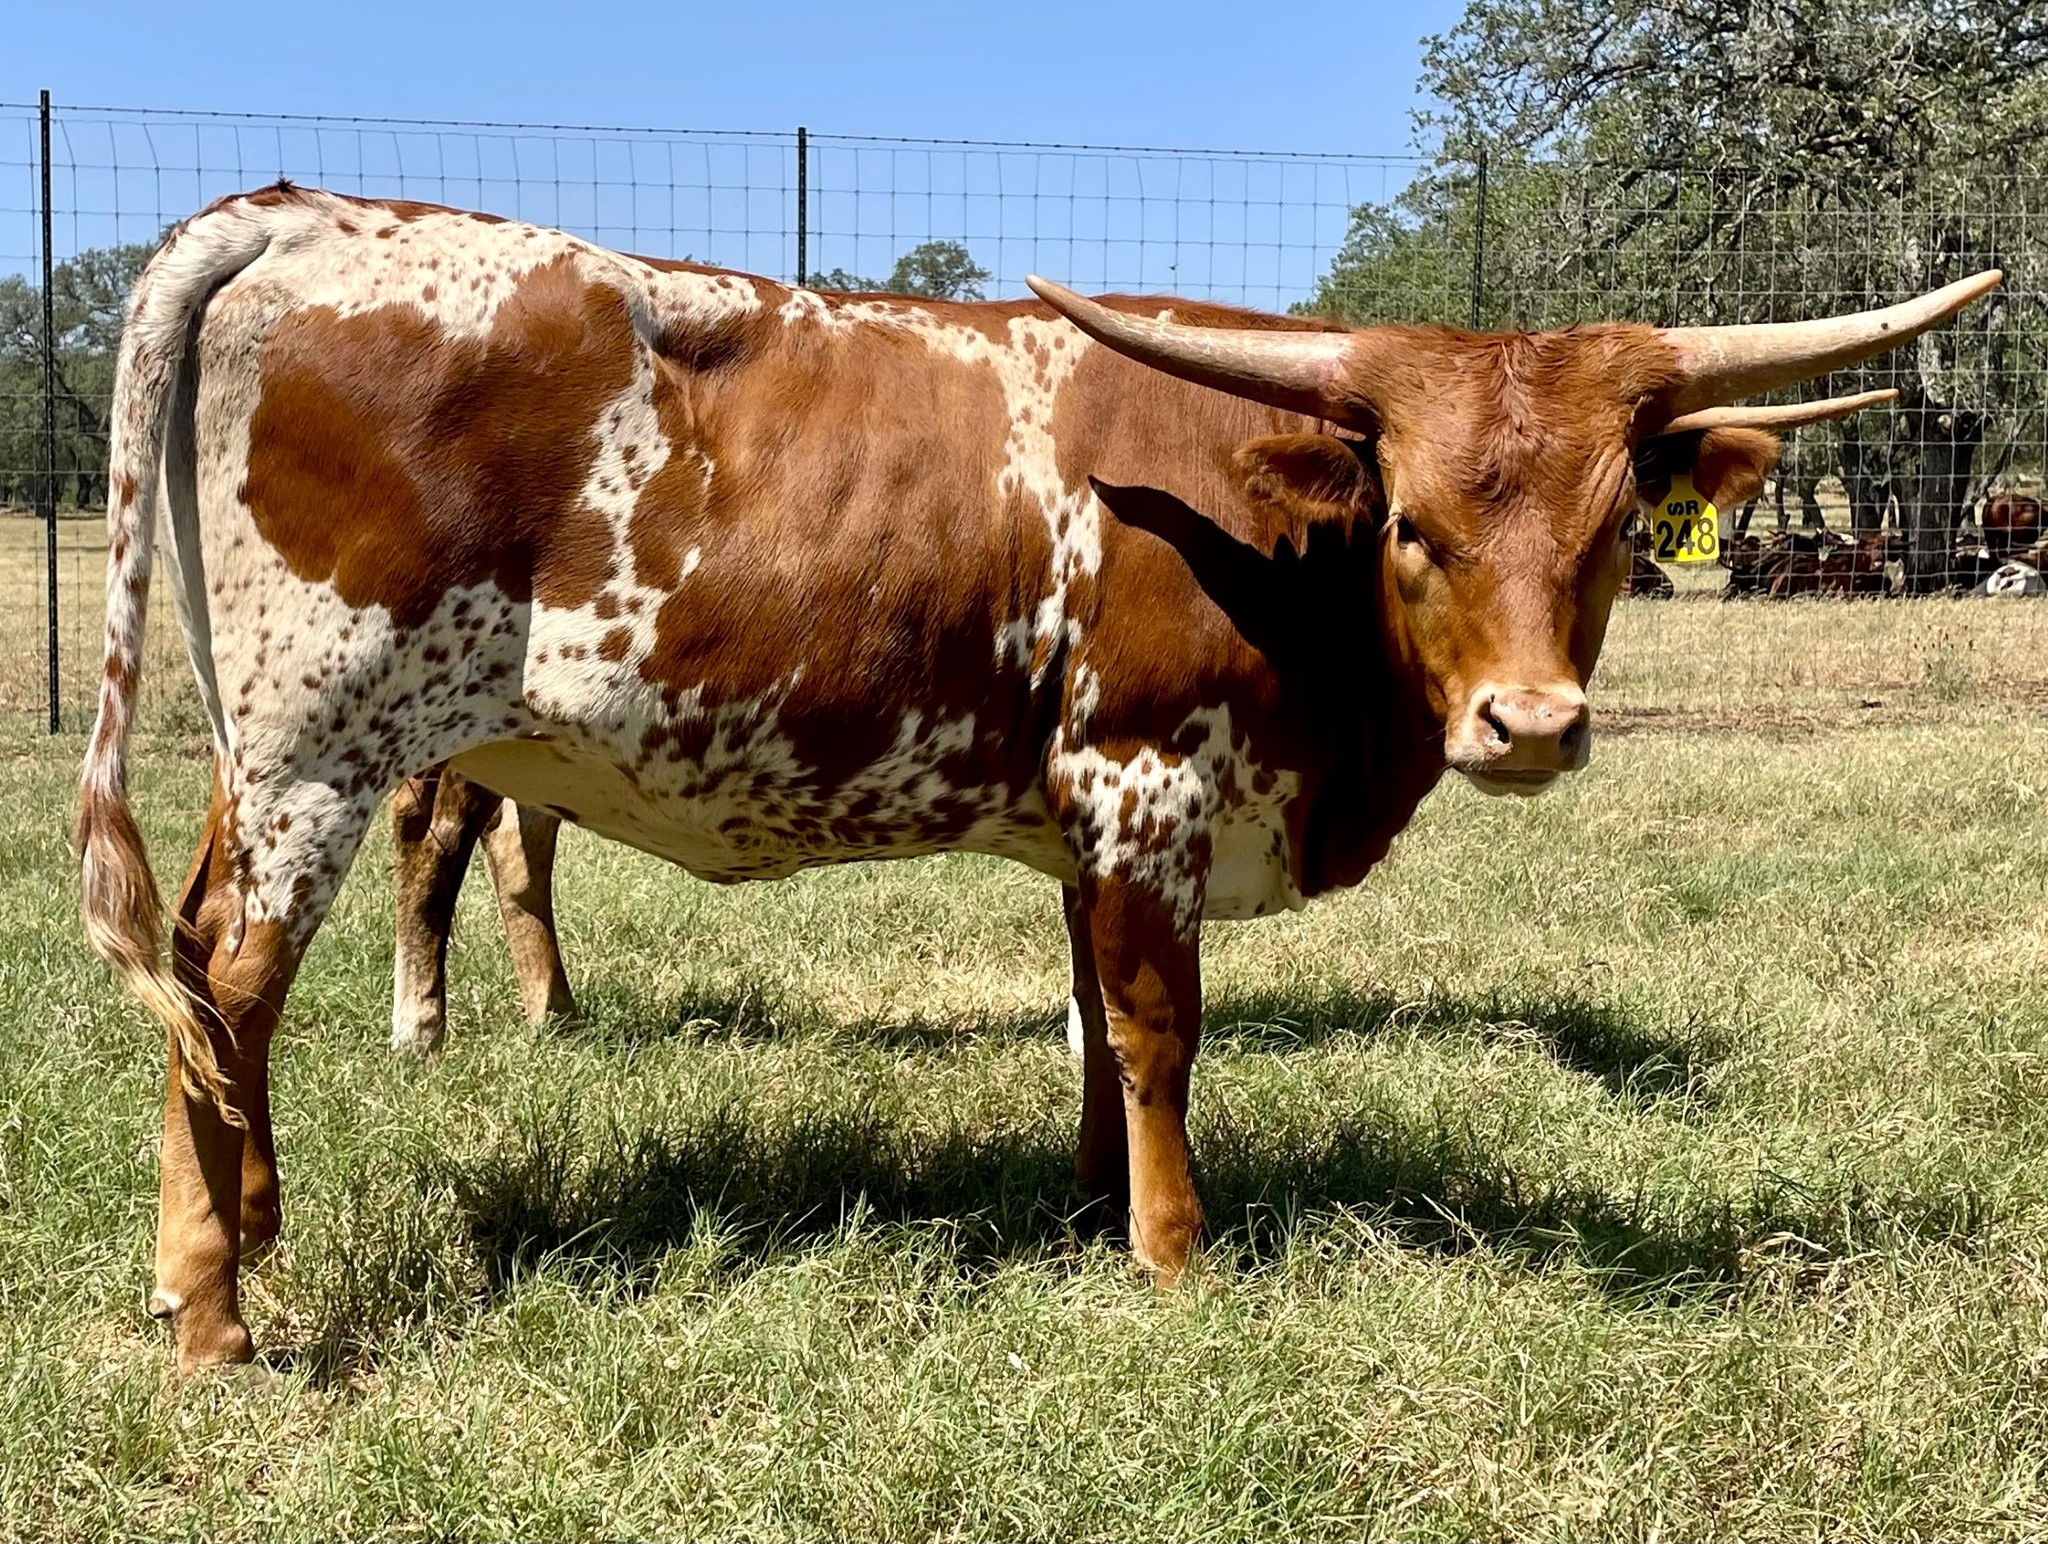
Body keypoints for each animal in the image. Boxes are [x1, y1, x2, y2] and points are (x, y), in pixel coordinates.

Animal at [73, 180, 1996, 1368]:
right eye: (1418, 527)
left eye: (1610, 534)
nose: (1530, 726)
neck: (1270, 529)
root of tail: (300, 215)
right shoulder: (1147, 785)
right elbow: (1155, 1030)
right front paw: (1173, 1251)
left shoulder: (1086, 820)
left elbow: (1086, 1018)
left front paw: (1089, 1206)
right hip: (322, 744)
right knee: (228, 976)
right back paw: (217, 1312)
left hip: (276, 753)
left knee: (208, 985)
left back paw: (237, 1230)